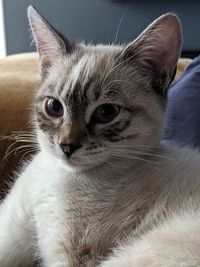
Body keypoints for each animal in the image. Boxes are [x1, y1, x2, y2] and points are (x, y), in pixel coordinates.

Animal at [0, 4, 200, 267]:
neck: (60, 176)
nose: (67, 146)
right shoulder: (12, 229)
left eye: (106, 113)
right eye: (54, 107)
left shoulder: (71, 256)